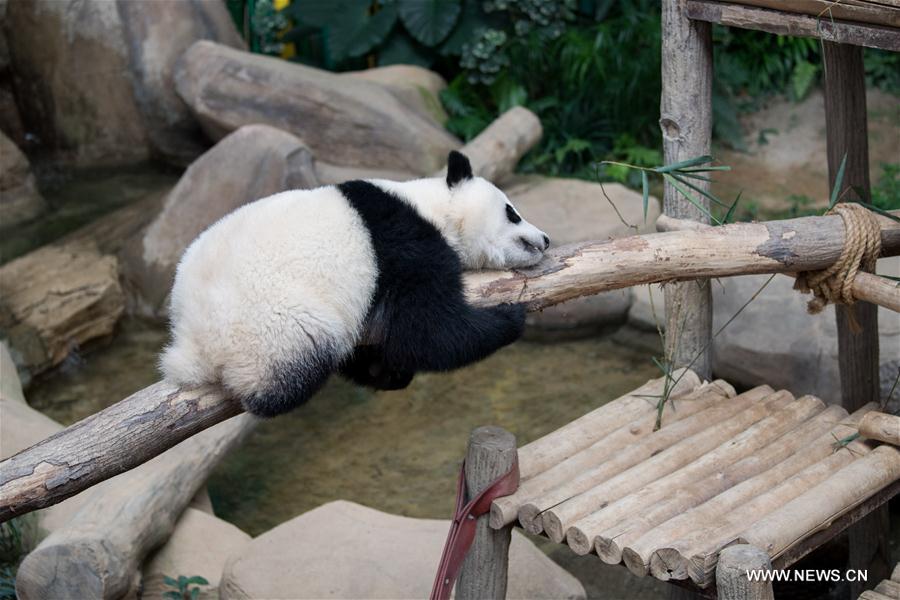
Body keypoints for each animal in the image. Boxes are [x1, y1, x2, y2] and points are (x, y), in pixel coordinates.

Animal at [161, 152, 548, 418]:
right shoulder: (403, 243)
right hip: (271, 326)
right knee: (296, 364)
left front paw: (387, 372)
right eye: (512, 212)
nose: (545, 239)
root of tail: (192, 339)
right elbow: (427, 330)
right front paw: (512, 316)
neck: (432, 205)